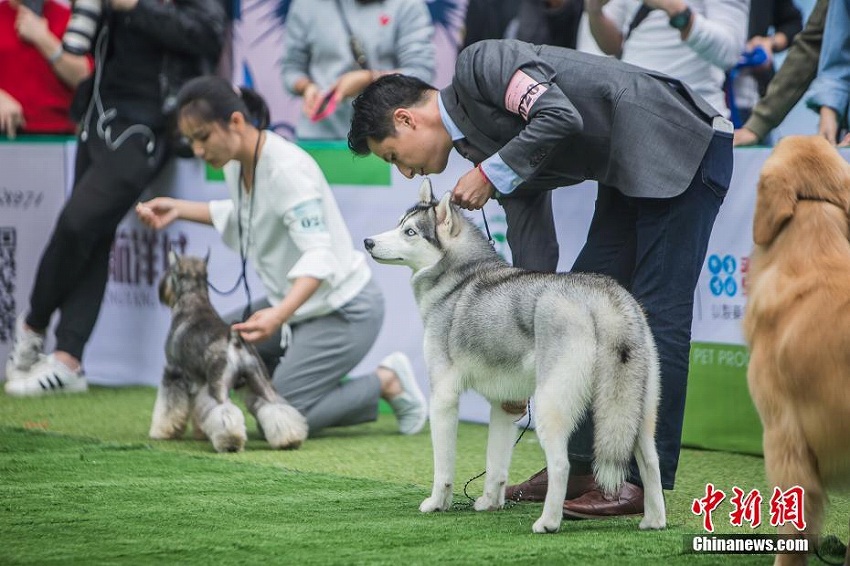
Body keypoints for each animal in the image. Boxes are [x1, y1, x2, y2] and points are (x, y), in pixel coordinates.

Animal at [150, 252, 308, 452]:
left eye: (169, 270)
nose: (161, 289)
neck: (193, 300)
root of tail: (235, 339)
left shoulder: (173, 372)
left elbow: (168, 407)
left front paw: (162, 431)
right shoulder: (199, 381)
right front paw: (201, 433)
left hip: (219, 387)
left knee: (224, 410)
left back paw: (230, 441)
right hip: (260, 381)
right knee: (277, 407)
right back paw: (289, 439)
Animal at [362, 182, 664, 536]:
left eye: (409, 232)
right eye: (398, 223)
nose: (367, 242)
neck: (458, 278)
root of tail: (603, 294)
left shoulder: (443, 396)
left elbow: (443, 467)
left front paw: (437, 503)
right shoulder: (506, 403)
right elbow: (496, 463)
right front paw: (489, 502)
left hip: (551, 405)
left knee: (560, 464)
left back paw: (548, 521)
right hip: (637, 410)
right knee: (651, 461)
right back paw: (654, 520)